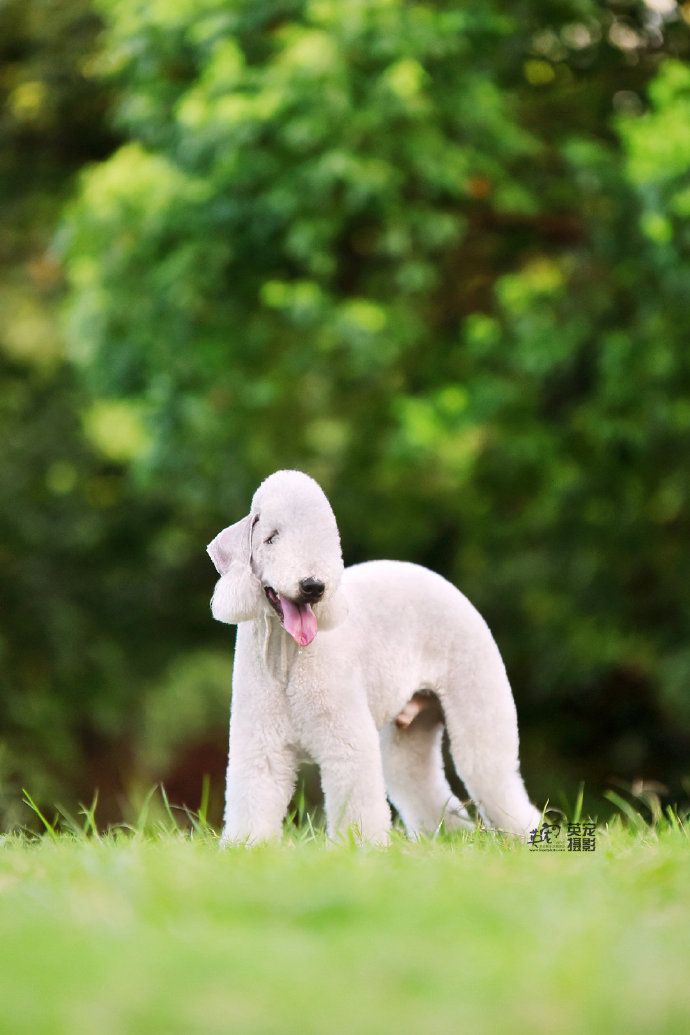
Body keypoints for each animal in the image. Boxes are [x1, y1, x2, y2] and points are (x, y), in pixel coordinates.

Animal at [207, 469, 542, 840]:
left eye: (327, 541)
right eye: (270, 539)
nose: (313, 585)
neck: (288, 655)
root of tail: (447, 585)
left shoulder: (346, 743)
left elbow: (358, 806)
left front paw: (358, 847)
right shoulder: (260, 745)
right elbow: (254, 799)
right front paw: (249, 847)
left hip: (478, 701)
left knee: (492, 776)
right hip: (409, 735)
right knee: (420, 784)